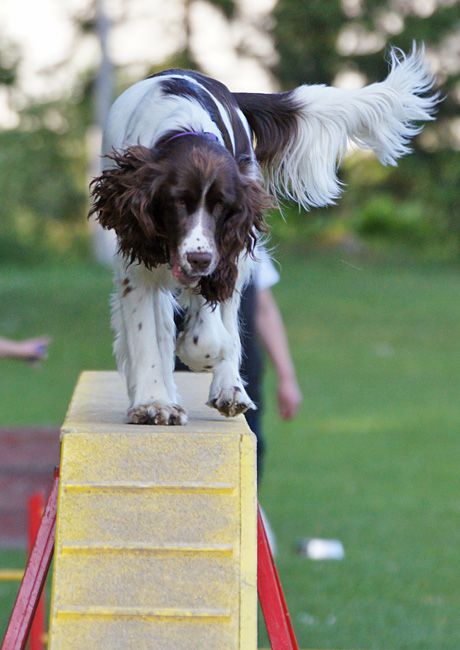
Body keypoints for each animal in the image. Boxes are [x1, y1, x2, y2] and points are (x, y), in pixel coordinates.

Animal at [90, 48, 438, 428]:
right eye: (178, 202)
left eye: (221, 206)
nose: (199, 259)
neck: (183, 126)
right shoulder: (136, 257)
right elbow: (146, 335)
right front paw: (154, 402)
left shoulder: (226, 250)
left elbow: (211, 333)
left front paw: (202, 357)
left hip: (239, 255)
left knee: (226, 316)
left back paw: (229, 389)